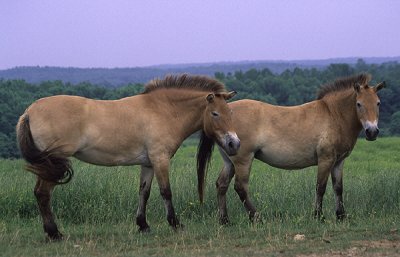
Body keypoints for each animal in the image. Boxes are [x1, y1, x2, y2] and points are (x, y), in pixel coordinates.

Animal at [16, 73, 241, 238]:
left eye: (231, 113)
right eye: (215, 113)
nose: (234, 143)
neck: (163, 110)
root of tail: (28, 112)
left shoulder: (148, 164)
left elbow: (144, 192)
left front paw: (143, 225)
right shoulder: (160, 159)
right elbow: (166, 192)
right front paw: (175, 224)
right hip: (52, 164)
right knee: (43, 194)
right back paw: (54, 233)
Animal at [198, 72, 384, 222]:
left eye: (378, 103)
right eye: (359, 104)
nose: (372, 131)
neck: (334, 115)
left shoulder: (338, 161)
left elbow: (338, 188)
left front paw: (341, 216)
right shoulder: (326, 159)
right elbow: (321, 187)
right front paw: (318, 216)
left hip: (230, 160)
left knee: (221, 185)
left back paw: (224, 220)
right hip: (243, 160)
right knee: (240, 187)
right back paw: (256, 217)